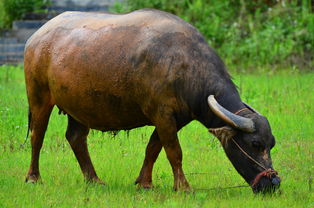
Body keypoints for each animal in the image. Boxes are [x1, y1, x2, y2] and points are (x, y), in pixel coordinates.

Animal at [23, 8, 280, 193]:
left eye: (272, 144)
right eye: (255, 144)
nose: (274, 183)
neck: (185, 67)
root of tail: (36, 37)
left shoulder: (174, 119)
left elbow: (153, 148)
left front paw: (145, 182)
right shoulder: (163, 115)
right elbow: (174, 151)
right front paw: (183, 187)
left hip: (79, 106)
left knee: (76, 138)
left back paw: (94, 179)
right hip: (39, 97)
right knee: (37, 136)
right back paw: (34, 177)